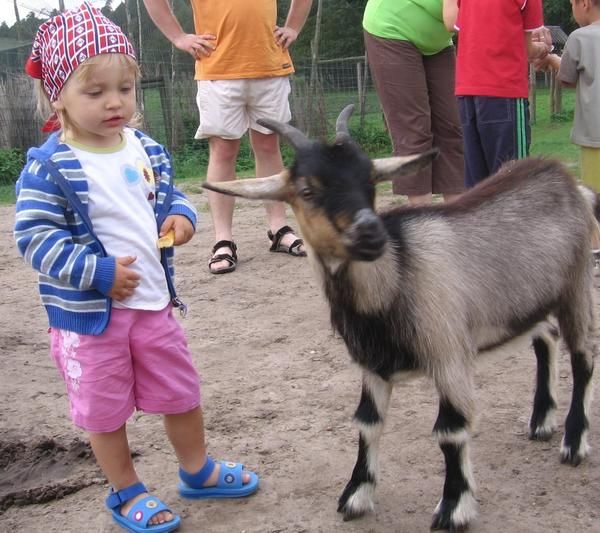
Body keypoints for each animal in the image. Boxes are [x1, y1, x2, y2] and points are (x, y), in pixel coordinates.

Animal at [203, 106, 596, 528]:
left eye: (370, 181)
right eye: (307, 191)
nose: (370, 233)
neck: (396, 279)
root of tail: (570, 181)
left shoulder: (449, 356)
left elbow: (451, 430)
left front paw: (454, 507)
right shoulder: (372, 366)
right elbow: (367, 422)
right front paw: (356, 496)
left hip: (576, 286)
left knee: (583, 358)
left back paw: (574, 443)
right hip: (531, 299)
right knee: (546, 338)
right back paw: (541, 422)